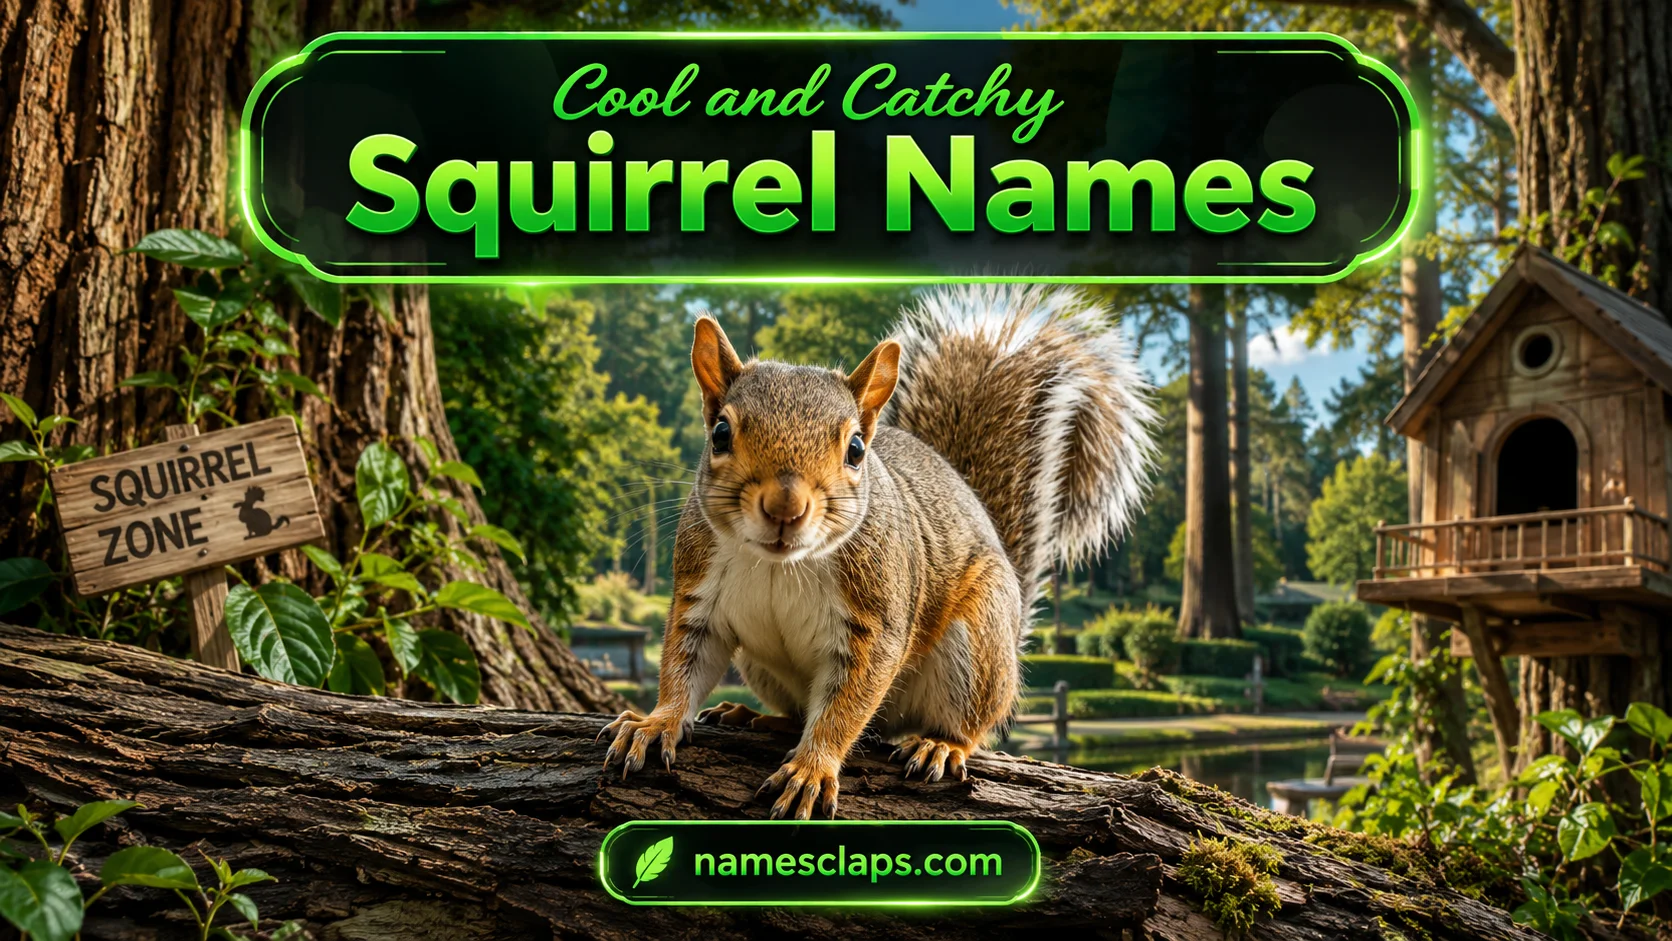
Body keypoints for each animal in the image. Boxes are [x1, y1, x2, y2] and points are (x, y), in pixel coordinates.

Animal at [602, 285, 1156, 819]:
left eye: (855, 450)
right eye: (720, 433)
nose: (785, 507)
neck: (782, 566)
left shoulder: (876, 618)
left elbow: (846, 705)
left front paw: (812, 768)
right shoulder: (700, 593)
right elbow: (684, 664)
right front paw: (655, 724)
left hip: (976, 646)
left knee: (970, 724)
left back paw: (939, 745)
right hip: (761, 666)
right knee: (797, 713)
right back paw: (752, 716)